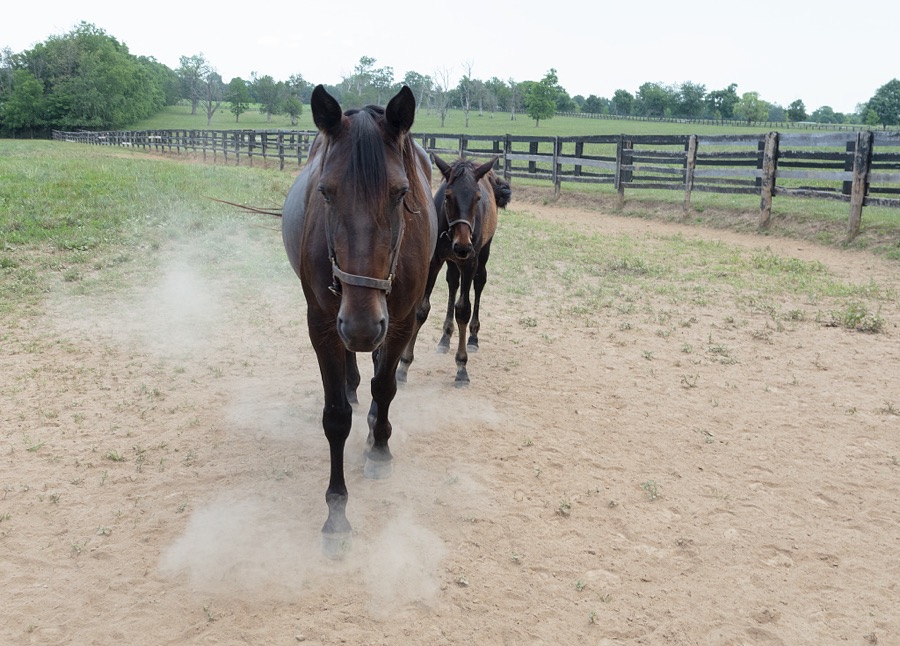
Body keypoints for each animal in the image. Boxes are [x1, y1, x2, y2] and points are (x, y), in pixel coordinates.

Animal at [281, 85, 437, 556]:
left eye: (400, 192)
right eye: (326, 192)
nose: (362, 326)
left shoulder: (399, 321)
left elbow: (385, 386)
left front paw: (379, 446)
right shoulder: (323, 326)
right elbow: (335, 418)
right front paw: (336, 515)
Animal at [397, 154, 511, 386]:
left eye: (477, 198)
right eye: (448, 196)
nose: (462, 246)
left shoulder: (469, 263)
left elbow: (463, 310)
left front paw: (461, 368)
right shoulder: (434, 260)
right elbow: (422, 309)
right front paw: (404, 365)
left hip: (482, 253)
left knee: (479, 282)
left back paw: (473, 338)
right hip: (452, 261)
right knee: (452, 282)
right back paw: (445, 338)